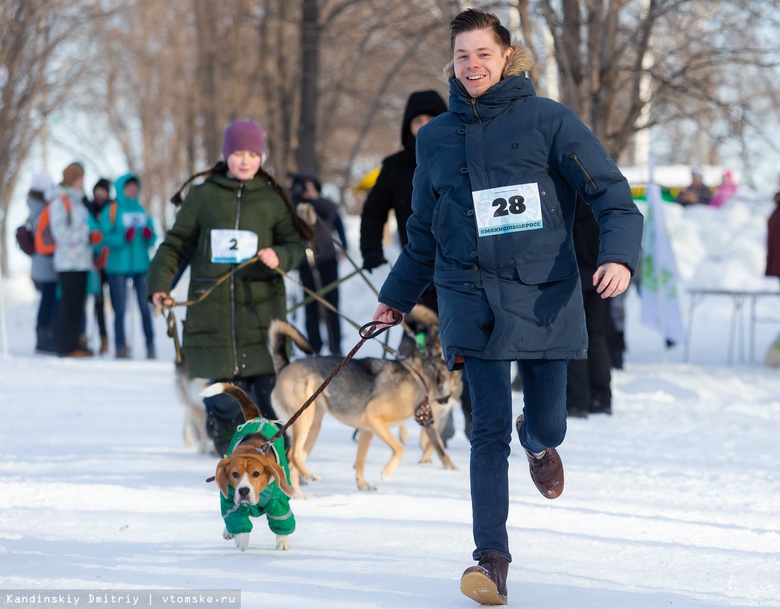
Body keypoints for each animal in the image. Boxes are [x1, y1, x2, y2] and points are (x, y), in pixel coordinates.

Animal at [272, 306, 460, 496]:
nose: (450, 399)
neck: (422, 378)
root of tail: (285, 366)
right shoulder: (373, 418)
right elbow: (399, 449)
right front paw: (387, 473)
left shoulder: (367, 429)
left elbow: (360, 461)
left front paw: (362, 485)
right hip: (304, 419)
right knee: (293, 455)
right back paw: (307, 478)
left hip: (313, 425)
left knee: (294, 463)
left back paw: (299, 495)